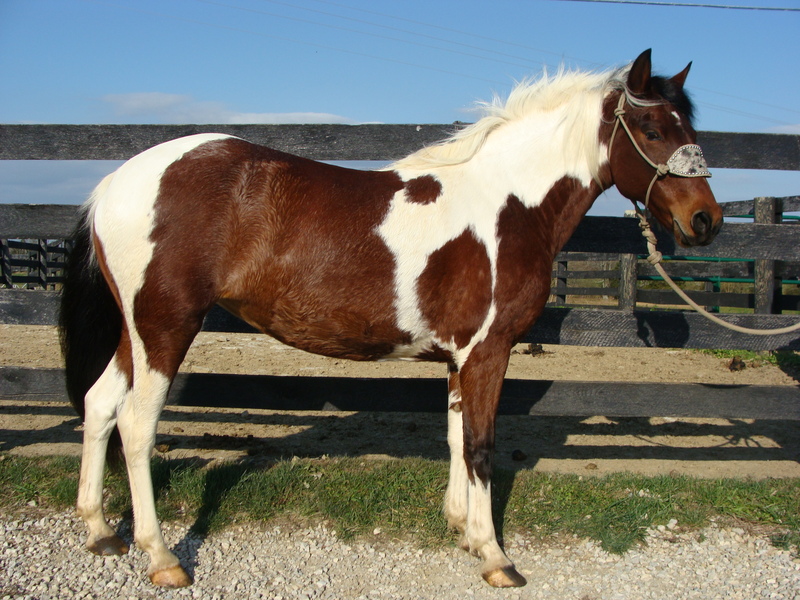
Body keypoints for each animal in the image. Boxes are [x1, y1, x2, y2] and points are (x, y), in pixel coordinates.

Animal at [59, 49, 722, 589]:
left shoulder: (460, 356)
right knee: (136, 426)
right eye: (653, 128)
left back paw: (100, 531)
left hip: (137, 332)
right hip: (166, 327)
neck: (508, 204)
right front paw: (496, 557)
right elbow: (480, 445)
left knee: (99, 404)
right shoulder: (489, 350)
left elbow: (456, 436)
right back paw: (162, 557)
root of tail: (117, 181)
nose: (706, 221)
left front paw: (463, 530)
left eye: (691, 128)